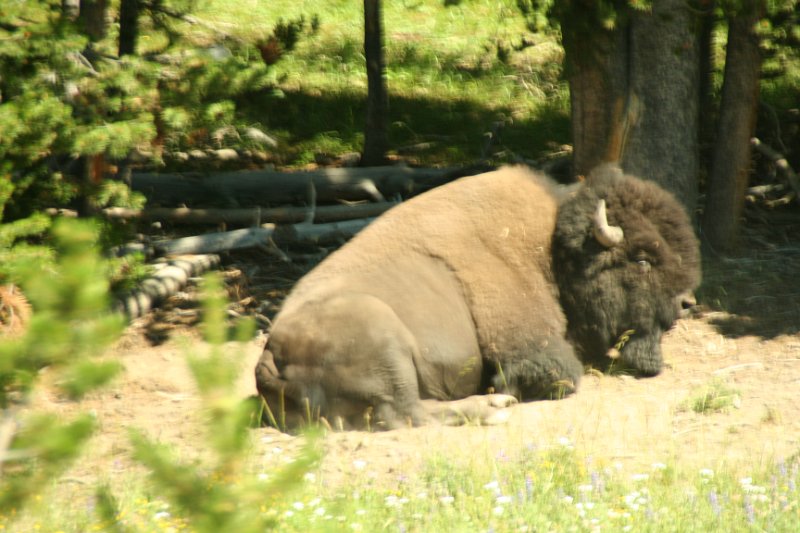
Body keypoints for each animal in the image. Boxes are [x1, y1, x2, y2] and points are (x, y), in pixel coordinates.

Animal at [255, 164, 701, 430]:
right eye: (642, 259)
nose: (686, 303)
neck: (551, 249)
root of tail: (270, 355)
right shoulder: (534, 350)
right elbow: (559, 375)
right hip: (383, 336)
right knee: (408, 412)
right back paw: (494, 407)